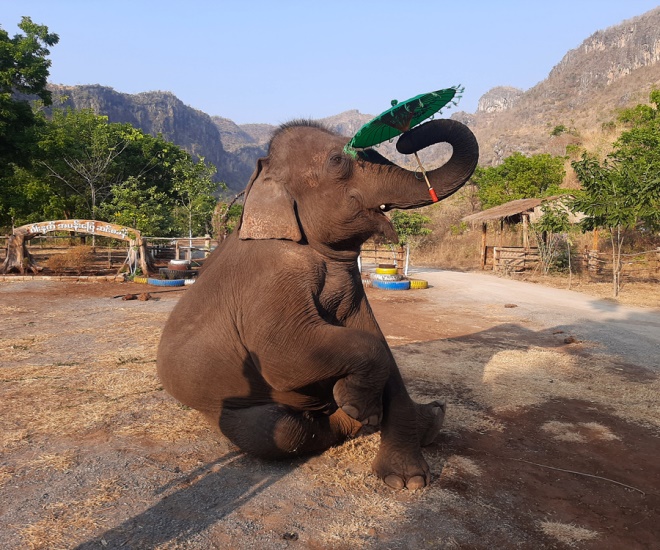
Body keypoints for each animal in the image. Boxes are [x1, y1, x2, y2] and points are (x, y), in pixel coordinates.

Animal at [157, 118, 478, 489]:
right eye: (338, 161)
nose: (407, 138)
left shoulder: (351, 286)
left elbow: (379, 343)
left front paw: (407, 481)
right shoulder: (272, 277)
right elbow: (282, 356)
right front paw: (362, 409)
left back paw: (433, 416)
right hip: (221, 407)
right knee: (282, 431)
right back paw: (355, 419)